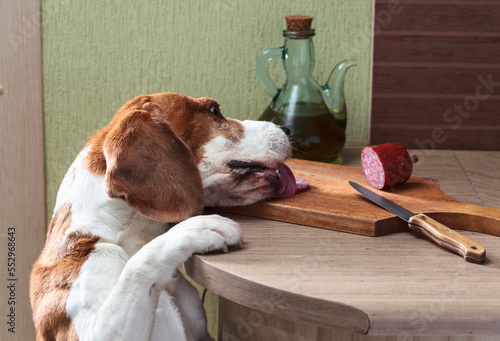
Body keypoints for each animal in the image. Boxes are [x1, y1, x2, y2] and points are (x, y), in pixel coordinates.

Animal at [30, 93, 292, 340]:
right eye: (214, 111)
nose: (287, 129)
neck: (122, 238)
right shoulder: (96, 330)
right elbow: (139, 264)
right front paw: (196, 229)